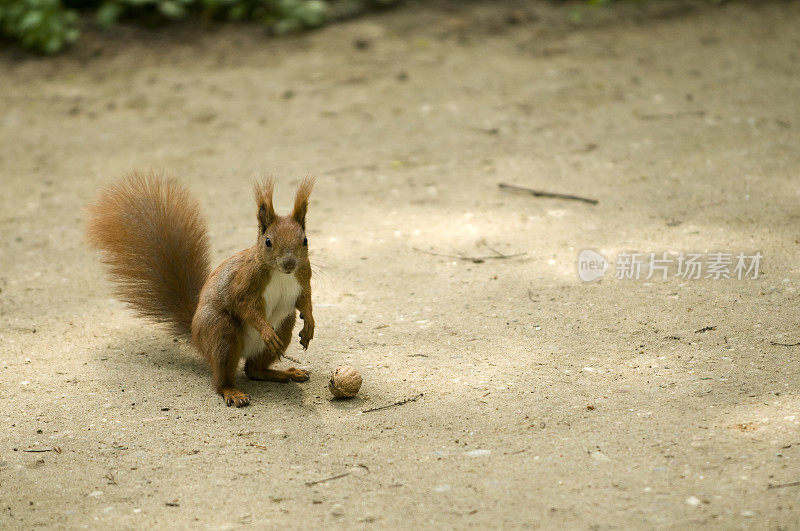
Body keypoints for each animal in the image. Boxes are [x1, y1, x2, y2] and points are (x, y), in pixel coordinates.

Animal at [86, 171, 312, 408]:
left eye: (305, 240)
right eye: (268, 242)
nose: (289, 264)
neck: (280, 274)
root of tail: (197, 338)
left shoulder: (304, 277)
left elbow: (306, 301)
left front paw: (310, 326)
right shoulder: (244, 283)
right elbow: (246, 306)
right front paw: (266, 331)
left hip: (284, 325)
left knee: (254, 370)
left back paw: (288, 373)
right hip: (222, 333)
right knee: (223, 378)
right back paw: (233, 392)